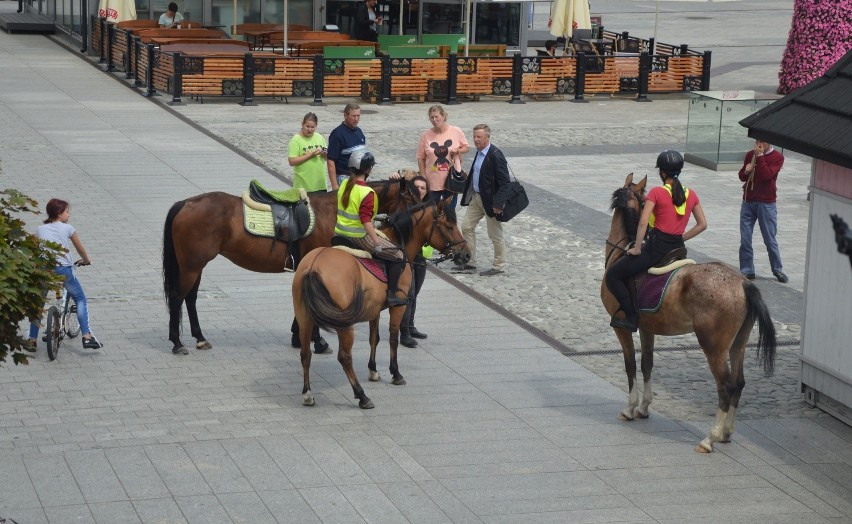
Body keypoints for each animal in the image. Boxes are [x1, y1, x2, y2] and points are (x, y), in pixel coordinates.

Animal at [161, 178, 418, 354]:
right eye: (413, 199)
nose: (414, 222)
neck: (332, 210)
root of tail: (186, 203)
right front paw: (318, 341)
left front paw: (299, 337)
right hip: (191, 266)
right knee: (177, 297)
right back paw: (177, 342)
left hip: (195, 265)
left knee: (190, 298)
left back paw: (199, 338)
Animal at [294, 201, 470, 410]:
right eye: (449, 227)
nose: (466, 255)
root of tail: (313, 266)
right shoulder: (398, 307)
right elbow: (393, 338)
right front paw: (395, 373)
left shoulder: (374, 310)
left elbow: (374, 339)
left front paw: (373, 370)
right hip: (344, 324)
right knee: (344, 357)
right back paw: (362, 396)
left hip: (304, 318)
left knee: (305, 354)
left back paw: (307, 394)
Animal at [600, 174, 780, 452]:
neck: (621, 252)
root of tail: (742, 283)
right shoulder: (647, 328)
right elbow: (647, 364)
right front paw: (644, 407)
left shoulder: (622, 327)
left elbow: (630, 366)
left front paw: (630, 408)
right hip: (739, 343)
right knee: (739, 383)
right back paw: (726, 433)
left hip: (713, 347)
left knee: (725, 386)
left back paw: (710, 438)